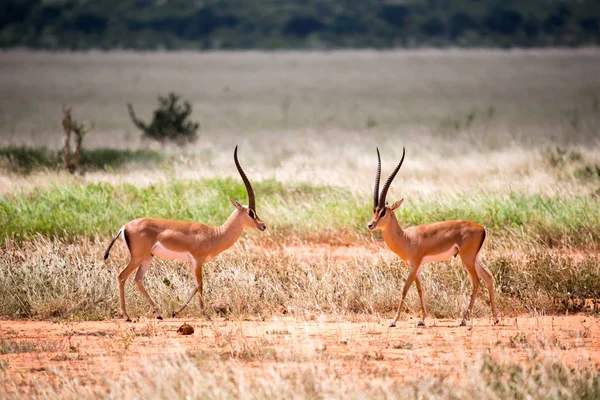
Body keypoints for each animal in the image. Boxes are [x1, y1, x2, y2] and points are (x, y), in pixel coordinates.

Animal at [104, 145, 266, 320]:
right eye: (250, 213)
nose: (263, 225)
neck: (214, 235)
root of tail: (124, 227)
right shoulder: (197, 260)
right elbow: (200, 284)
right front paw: (205, 315)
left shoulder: (191, 262)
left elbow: (195, 286)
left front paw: (175, 312)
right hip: (138, 258)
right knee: (122, 277)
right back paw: (127, 316)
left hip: (147, 257)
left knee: (138, 280)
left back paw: (158, 314)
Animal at [368, 148, 500, 326]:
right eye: (374, 210)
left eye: (383, 212)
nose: (370, 225)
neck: (406, 238)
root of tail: (482, 228)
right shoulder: (416, 267)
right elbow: (420, 289)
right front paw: (422, 319)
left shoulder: (414, 265)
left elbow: (405, 289)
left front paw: (393, 321)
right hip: (475, 258)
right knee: (489, 278)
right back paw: (495, 319)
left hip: (466, 259)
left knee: (476, 282)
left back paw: (464, 320)